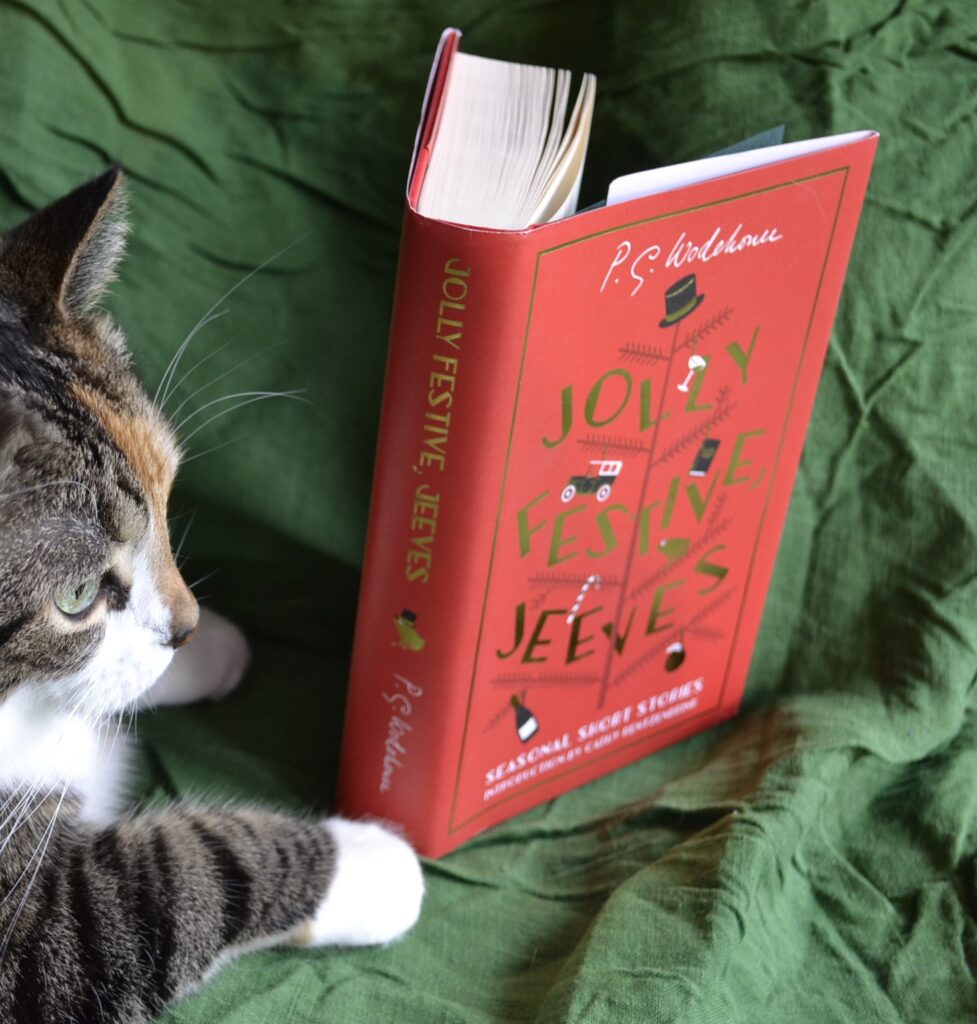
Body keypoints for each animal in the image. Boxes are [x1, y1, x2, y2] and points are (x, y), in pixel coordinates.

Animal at [0, 163, 421, 1019]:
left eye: (167, 502)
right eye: (76, 597)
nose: (186, 626)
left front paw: (201, 655)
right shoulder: (25, 939)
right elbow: (169, 880)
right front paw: (375, 866)